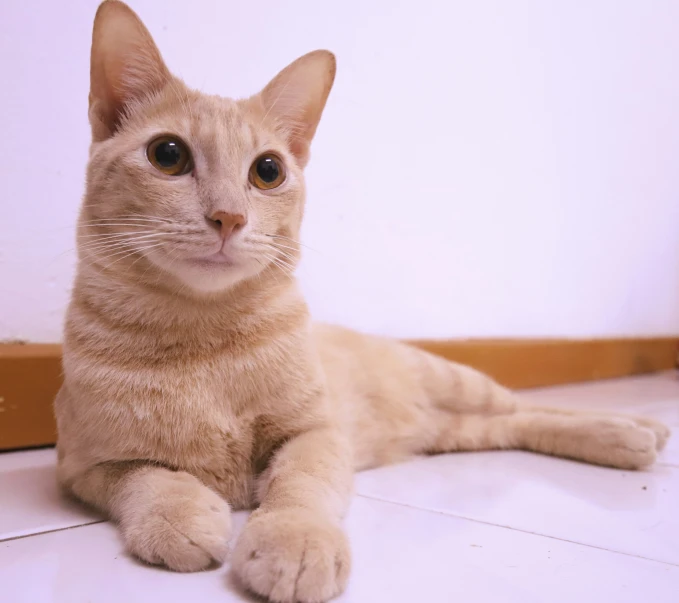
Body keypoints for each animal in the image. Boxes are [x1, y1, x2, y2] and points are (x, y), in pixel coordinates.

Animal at [55, 2, 672, 600]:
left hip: (454, 380)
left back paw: (634, 428)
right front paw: (181, 515)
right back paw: (630, 435)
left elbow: (299, 485)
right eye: (168, 155)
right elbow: (146, 477)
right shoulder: (83, 465)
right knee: (513, 424)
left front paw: (295, 540)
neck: (203, 339)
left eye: (268, 170)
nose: (229, 216)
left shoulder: (316, 435)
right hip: (454, 431)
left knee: (526, 404)